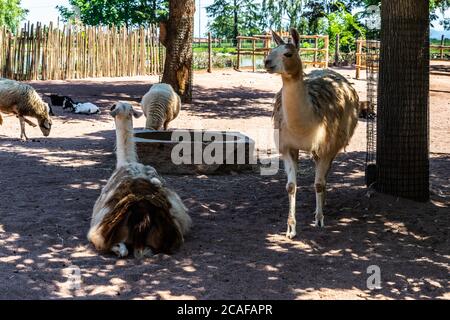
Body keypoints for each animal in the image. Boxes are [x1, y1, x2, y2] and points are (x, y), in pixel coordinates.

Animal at [268, 28, 358, 238]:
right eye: (271, 50)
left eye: (288, 53)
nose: (266, 62)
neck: (304, 127)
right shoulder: (287, 146)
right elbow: (291, 186)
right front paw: (291, 228)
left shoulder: (326, 146)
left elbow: (318, 183)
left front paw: (319, 220)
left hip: (333, 144)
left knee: (324, 176)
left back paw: (323, 204)